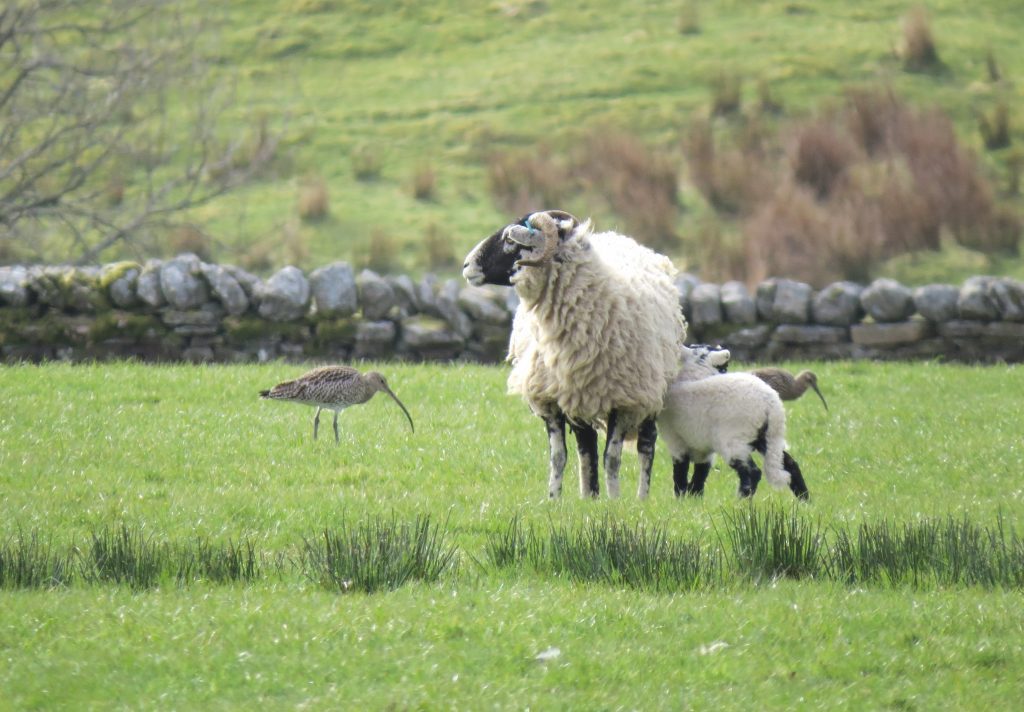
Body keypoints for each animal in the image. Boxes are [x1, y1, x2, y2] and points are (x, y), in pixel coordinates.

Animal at [464, 210, 688, 501]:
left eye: (509, 240)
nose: (466, 265)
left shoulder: (624, 400)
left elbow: (612, 458)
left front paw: (615, 501)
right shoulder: (550, 399)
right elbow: (559, 456)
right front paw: (553, 500)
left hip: (651, 392)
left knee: (645, 447)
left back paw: (640, 498)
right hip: (579, 395)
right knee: (587, 448)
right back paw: (588, 497)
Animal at [659, 346, 811, 501]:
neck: (694, 376)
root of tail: (771, 404)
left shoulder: (676, 441)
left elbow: (680, 472)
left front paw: (681, 498)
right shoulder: (703, 447)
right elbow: (700, 474)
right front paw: (695, 498)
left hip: (733, 440)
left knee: (753, 472)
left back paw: (741, 500)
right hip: (768, 437)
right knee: (791, 464)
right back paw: (804, 499)